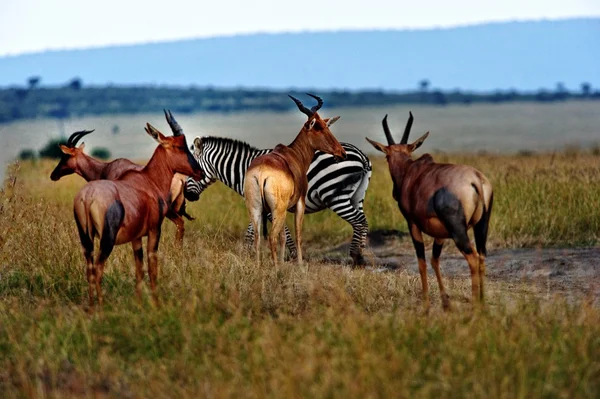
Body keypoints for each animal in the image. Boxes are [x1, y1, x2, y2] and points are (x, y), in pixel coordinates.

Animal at [72, 122, 204, 306]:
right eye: (179, 146)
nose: (200, 172)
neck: (147, 180)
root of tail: (88, 196)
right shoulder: (154, 230)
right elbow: (152, 267)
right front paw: (156, 303)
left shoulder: (136, 237)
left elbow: (139, 269)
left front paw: (140, 302)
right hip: (107, 239)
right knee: (98, 269)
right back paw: (101, 306)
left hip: (86, 238)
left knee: (89, 269)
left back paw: (91, 306)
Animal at [184, 137, 370, 266]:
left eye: (190, 170)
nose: (186, 195)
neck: (244, 169)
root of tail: (362, 155)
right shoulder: (259, 205)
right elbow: (252, 231)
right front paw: (247, 255)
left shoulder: (269, 206)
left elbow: (282, 232)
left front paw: (291, 257)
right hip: (357, 196)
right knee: (363, 221)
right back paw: (361, 256)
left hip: (334, 194)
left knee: (358, 221)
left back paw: (356, 256)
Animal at [244, 94, 346, 266]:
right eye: (320, 128)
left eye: (326, 126)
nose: (342, 153)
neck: (293, 154)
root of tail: (261, 173)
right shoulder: (299, 202)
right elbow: (298, 235)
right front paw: (300, 266)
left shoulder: (285, 208)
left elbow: (284, 237)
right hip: (277, 210)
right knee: (271, 237)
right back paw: (276, 269)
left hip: (256, 209)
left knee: (258, 238)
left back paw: (258, 267)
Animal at [366, 112, 492, 312]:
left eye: (386, 156)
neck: (412, 171)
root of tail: (476, 180)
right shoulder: (440, 233)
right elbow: (435, 259)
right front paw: (445, 302)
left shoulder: (413, 224)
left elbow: (422, 262)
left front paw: (426, 306)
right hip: (481, 226)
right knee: (481, 257)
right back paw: (482, 303)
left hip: (458, 231)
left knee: (472, 258)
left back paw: (475, 307)